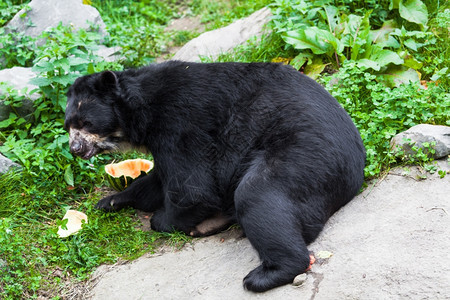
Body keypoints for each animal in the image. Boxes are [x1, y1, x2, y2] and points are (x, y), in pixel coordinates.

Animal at [64, 61, 366, 292]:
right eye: (68, 125)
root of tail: (356, 171)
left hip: (306, 156)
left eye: (86, 123)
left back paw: (262, 275)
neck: (141, 110)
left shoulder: (180, 123)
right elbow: (157, 181)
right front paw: (110, 201)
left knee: (257, 196)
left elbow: (192, 186)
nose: (75, 148)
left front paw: (162, 219)